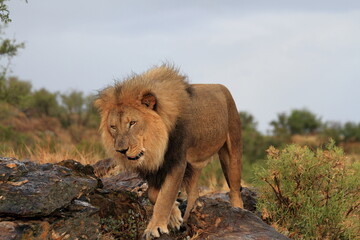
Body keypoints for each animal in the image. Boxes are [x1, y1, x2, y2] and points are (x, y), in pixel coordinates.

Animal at [94, 64, 243, 239]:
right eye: (113, 127)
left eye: (132, 123)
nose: (121, 150)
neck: (156, 146)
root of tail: (220, 86)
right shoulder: (154, 169)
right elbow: (154, 195)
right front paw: (175, 217)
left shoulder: (177, 161)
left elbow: (166, 195)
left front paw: (155, 228)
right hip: (194, 165)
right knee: (194, 193)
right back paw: (187, 219)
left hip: (232, 149)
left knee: (235, 189)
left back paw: (238, 211)